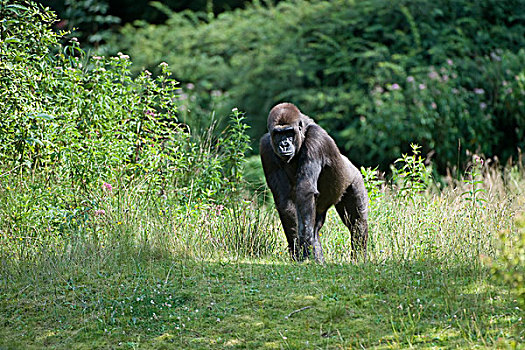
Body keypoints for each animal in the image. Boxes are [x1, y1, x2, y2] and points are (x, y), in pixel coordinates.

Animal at [258, 102, 366, 262]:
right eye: (278, 134)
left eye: (289, 132)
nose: (284, 145)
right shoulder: (265, 147)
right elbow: (285, 201)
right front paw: (297, 247)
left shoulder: (316, 138)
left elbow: (305, 190)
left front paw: (303, 245)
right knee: (316, 226)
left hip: (355, 179)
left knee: (357, 223)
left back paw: (360, 258)